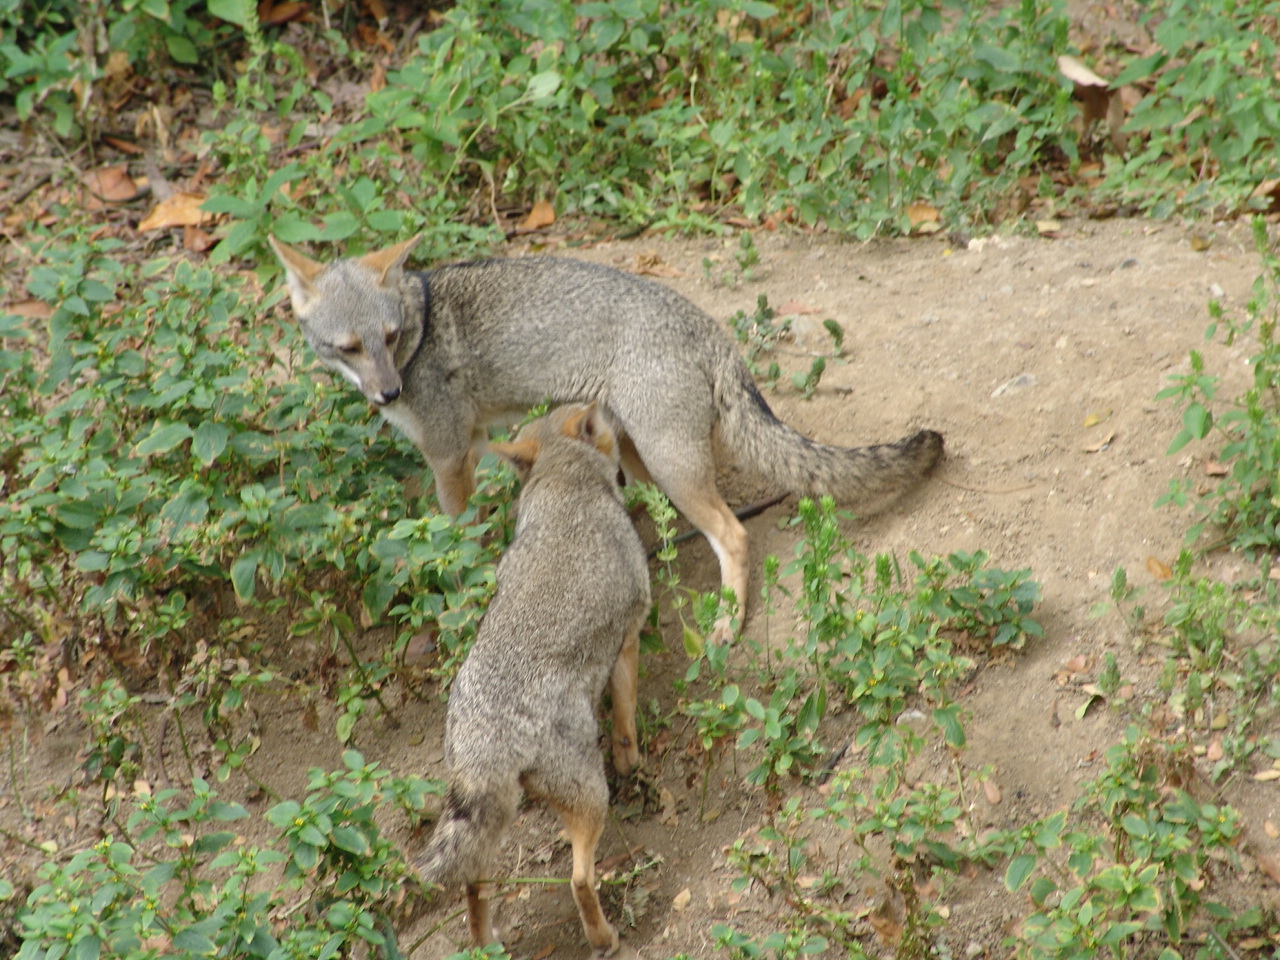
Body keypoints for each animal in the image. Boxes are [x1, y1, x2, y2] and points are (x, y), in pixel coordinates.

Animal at [269, 235, 943, 639]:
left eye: (388, 338)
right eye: (348, 347)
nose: (386, 394)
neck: (422, 324)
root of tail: (708, 327)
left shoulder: (448, 457)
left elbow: (455, 543)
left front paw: (460, 595)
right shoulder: (482, 439)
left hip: (671, 467)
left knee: (733, 534)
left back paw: (727, 623)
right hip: (639, 457)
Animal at [413, 402, 650, 956]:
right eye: (601, 418)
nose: (610, 407)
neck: (566, 484)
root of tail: (485, 737)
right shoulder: (628, 635)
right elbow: (626, 718)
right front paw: (632, 759)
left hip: (497, 826)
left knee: (474, 887)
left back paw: (486, 944)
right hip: (591, 800)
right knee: (579, 879)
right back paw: (604, 938)